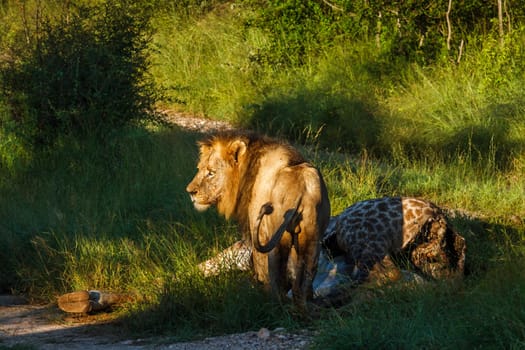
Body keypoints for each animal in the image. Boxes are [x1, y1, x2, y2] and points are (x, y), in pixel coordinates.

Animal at [186, 131, 330, 306]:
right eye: (199, 169)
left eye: (211, 172)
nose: (190, 192)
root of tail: (301, 190)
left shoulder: (259, 232)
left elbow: (261, 267)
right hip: (312, 240)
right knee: (303, 283)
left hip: (275, 238)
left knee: (276, 279)